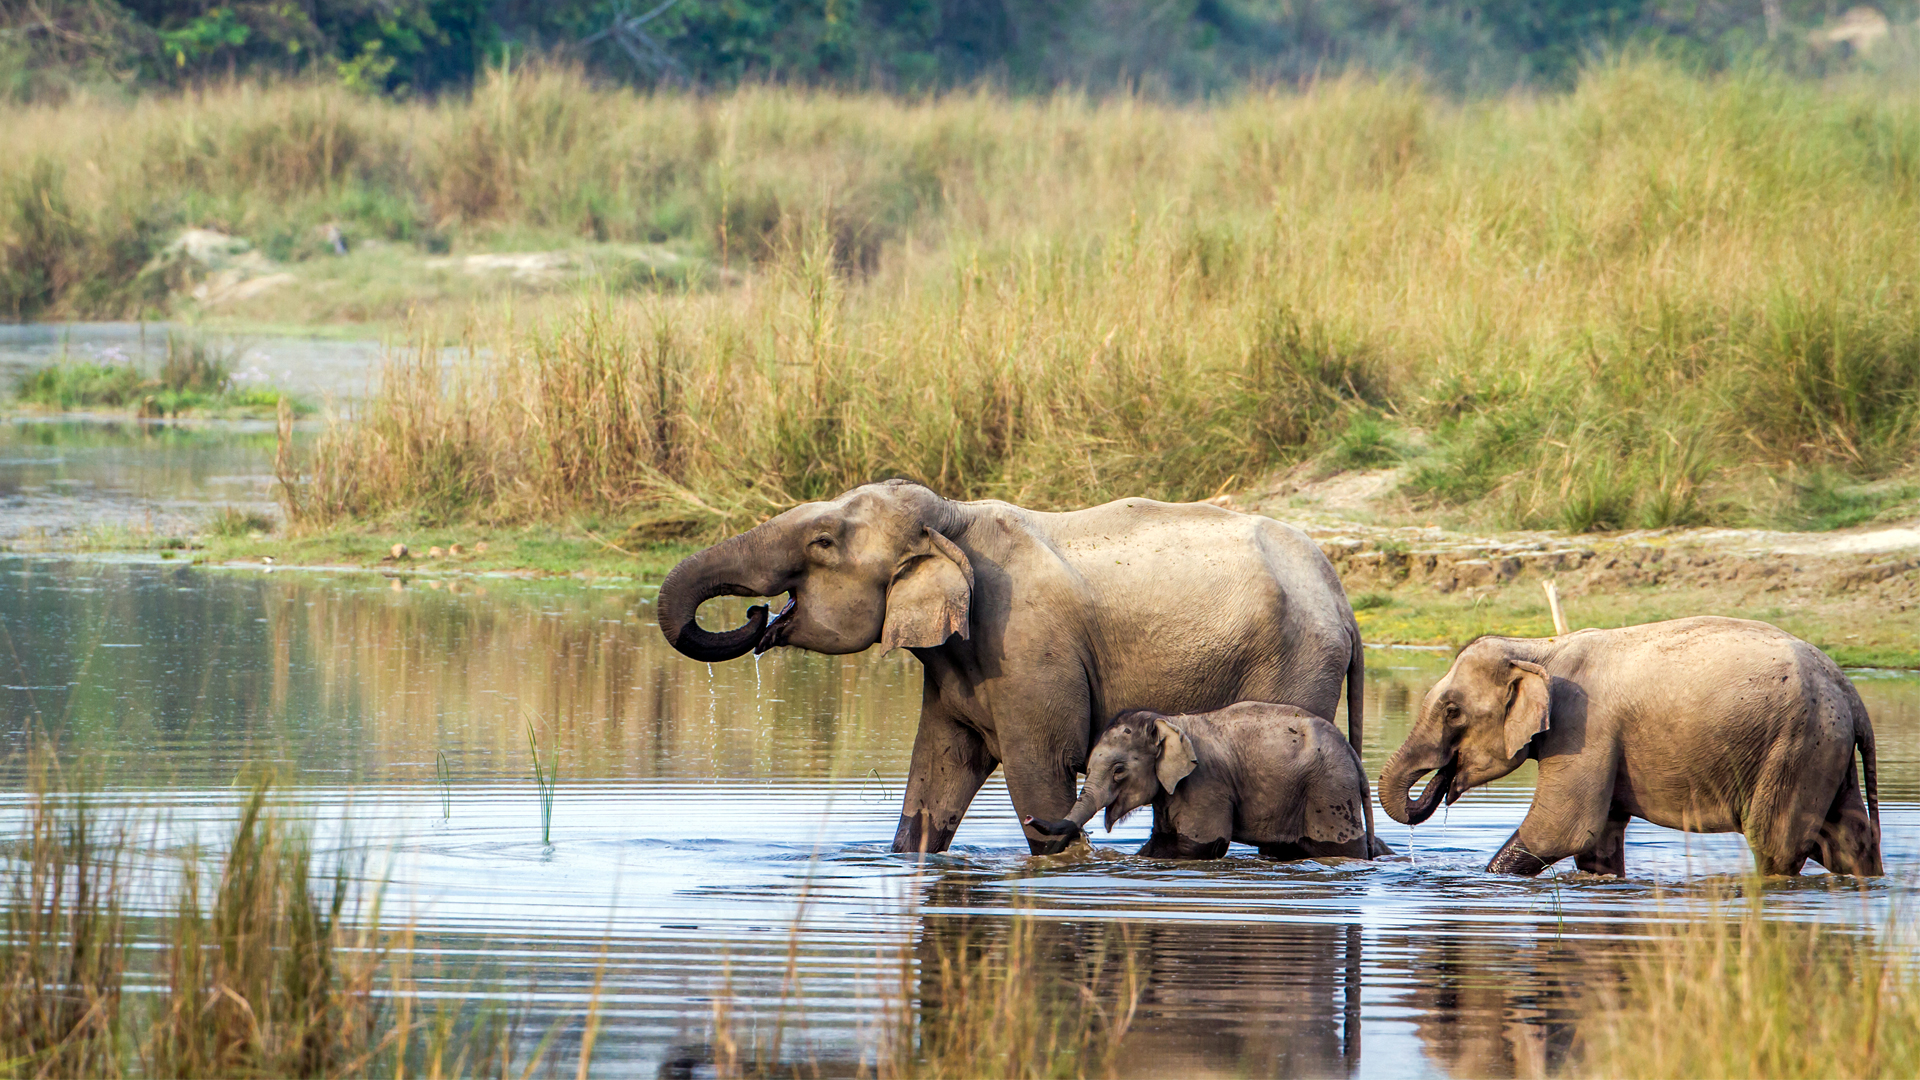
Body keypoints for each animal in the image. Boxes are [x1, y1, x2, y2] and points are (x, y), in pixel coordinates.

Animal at [660, 478, 1367, 849]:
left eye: (822, 543)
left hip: (1295, 664)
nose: (758, 615)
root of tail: (1343, 601)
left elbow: (1039, 774)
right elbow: (935, 777)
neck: (954, 519)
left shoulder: (1027, 651)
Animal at [1029, 699, 1390, 857]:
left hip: (1329, 792)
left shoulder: (1205, 783)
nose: (1032, 818)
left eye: (1119, 772)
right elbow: (1160, 843)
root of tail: (1353, 756)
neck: (1167, 721)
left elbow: (1199, 845)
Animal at [1374, 614, 1881, 876]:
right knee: (1847, 839)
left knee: (1776, 845)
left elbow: (1561, 830)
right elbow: (1596, 845)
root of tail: (1852, 694)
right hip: (1824, 750)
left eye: (1452, 711)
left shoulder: (1584, 730)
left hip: (1795, 747)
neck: (1540, 648)